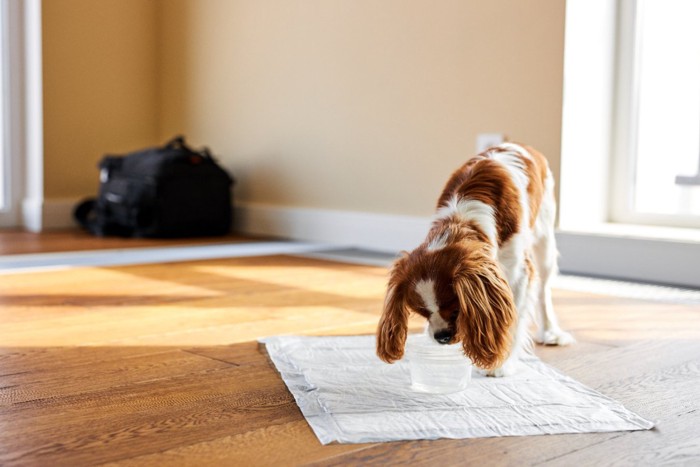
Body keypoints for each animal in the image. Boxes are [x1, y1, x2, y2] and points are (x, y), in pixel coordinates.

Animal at [378, 143, 576, 376]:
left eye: (456, 309)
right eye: (422, 312)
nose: (441, 337)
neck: (462, 217)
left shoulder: (518, 271)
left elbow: (515, 318)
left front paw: (500, 365)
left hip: (544, 238)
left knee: (544, 290)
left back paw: (551, 332)